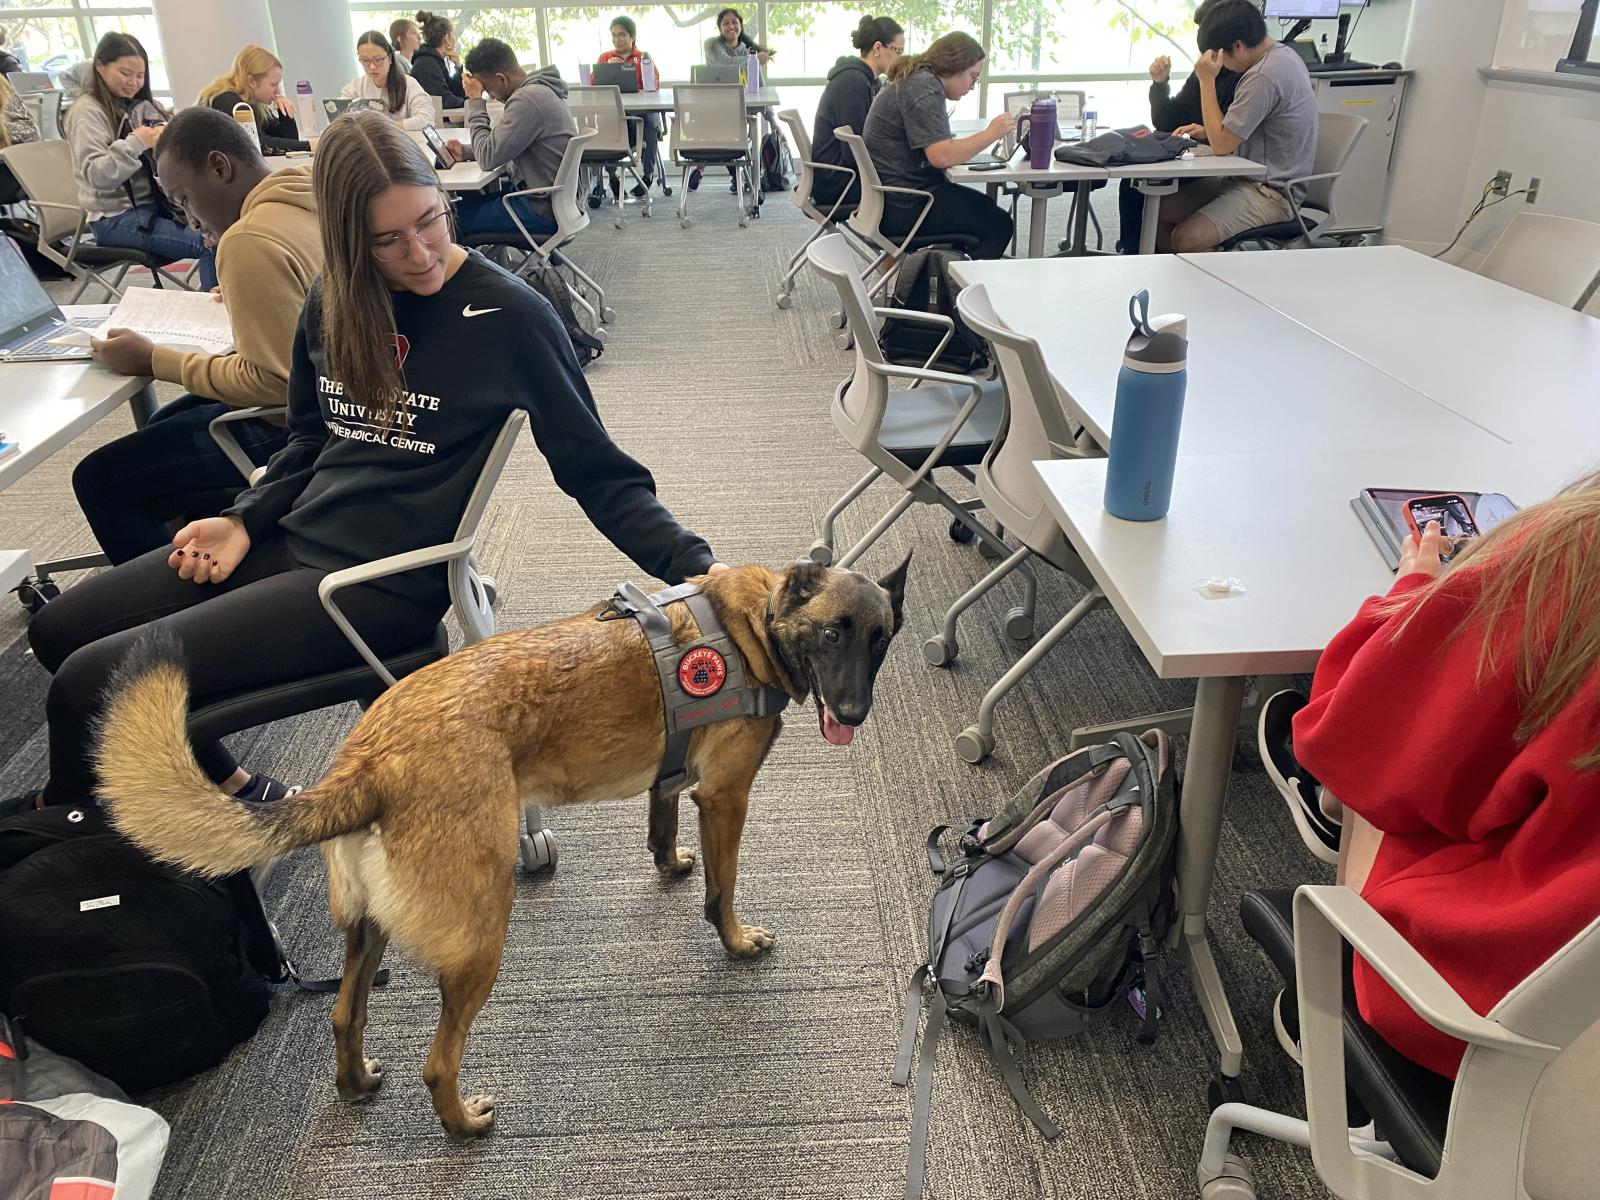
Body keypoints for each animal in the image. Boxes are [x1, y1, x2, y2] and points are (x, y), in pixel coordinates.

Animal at [93, 560, 908, 1139]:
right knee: (436, 1061)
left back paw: (357, 1084)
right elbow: (724, 887)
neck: (749, 627)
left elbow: (663, 816)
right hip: (480, 938)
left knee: (344, 1016)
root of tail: (369, 760)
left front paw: (669, 862)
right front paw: (735, 938)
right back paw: (462, 1125)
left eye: (881, 639)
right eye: (833, 634)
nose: (853, 713)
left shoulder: (677, 780)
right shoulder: (727, 799)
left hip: (370, 929)